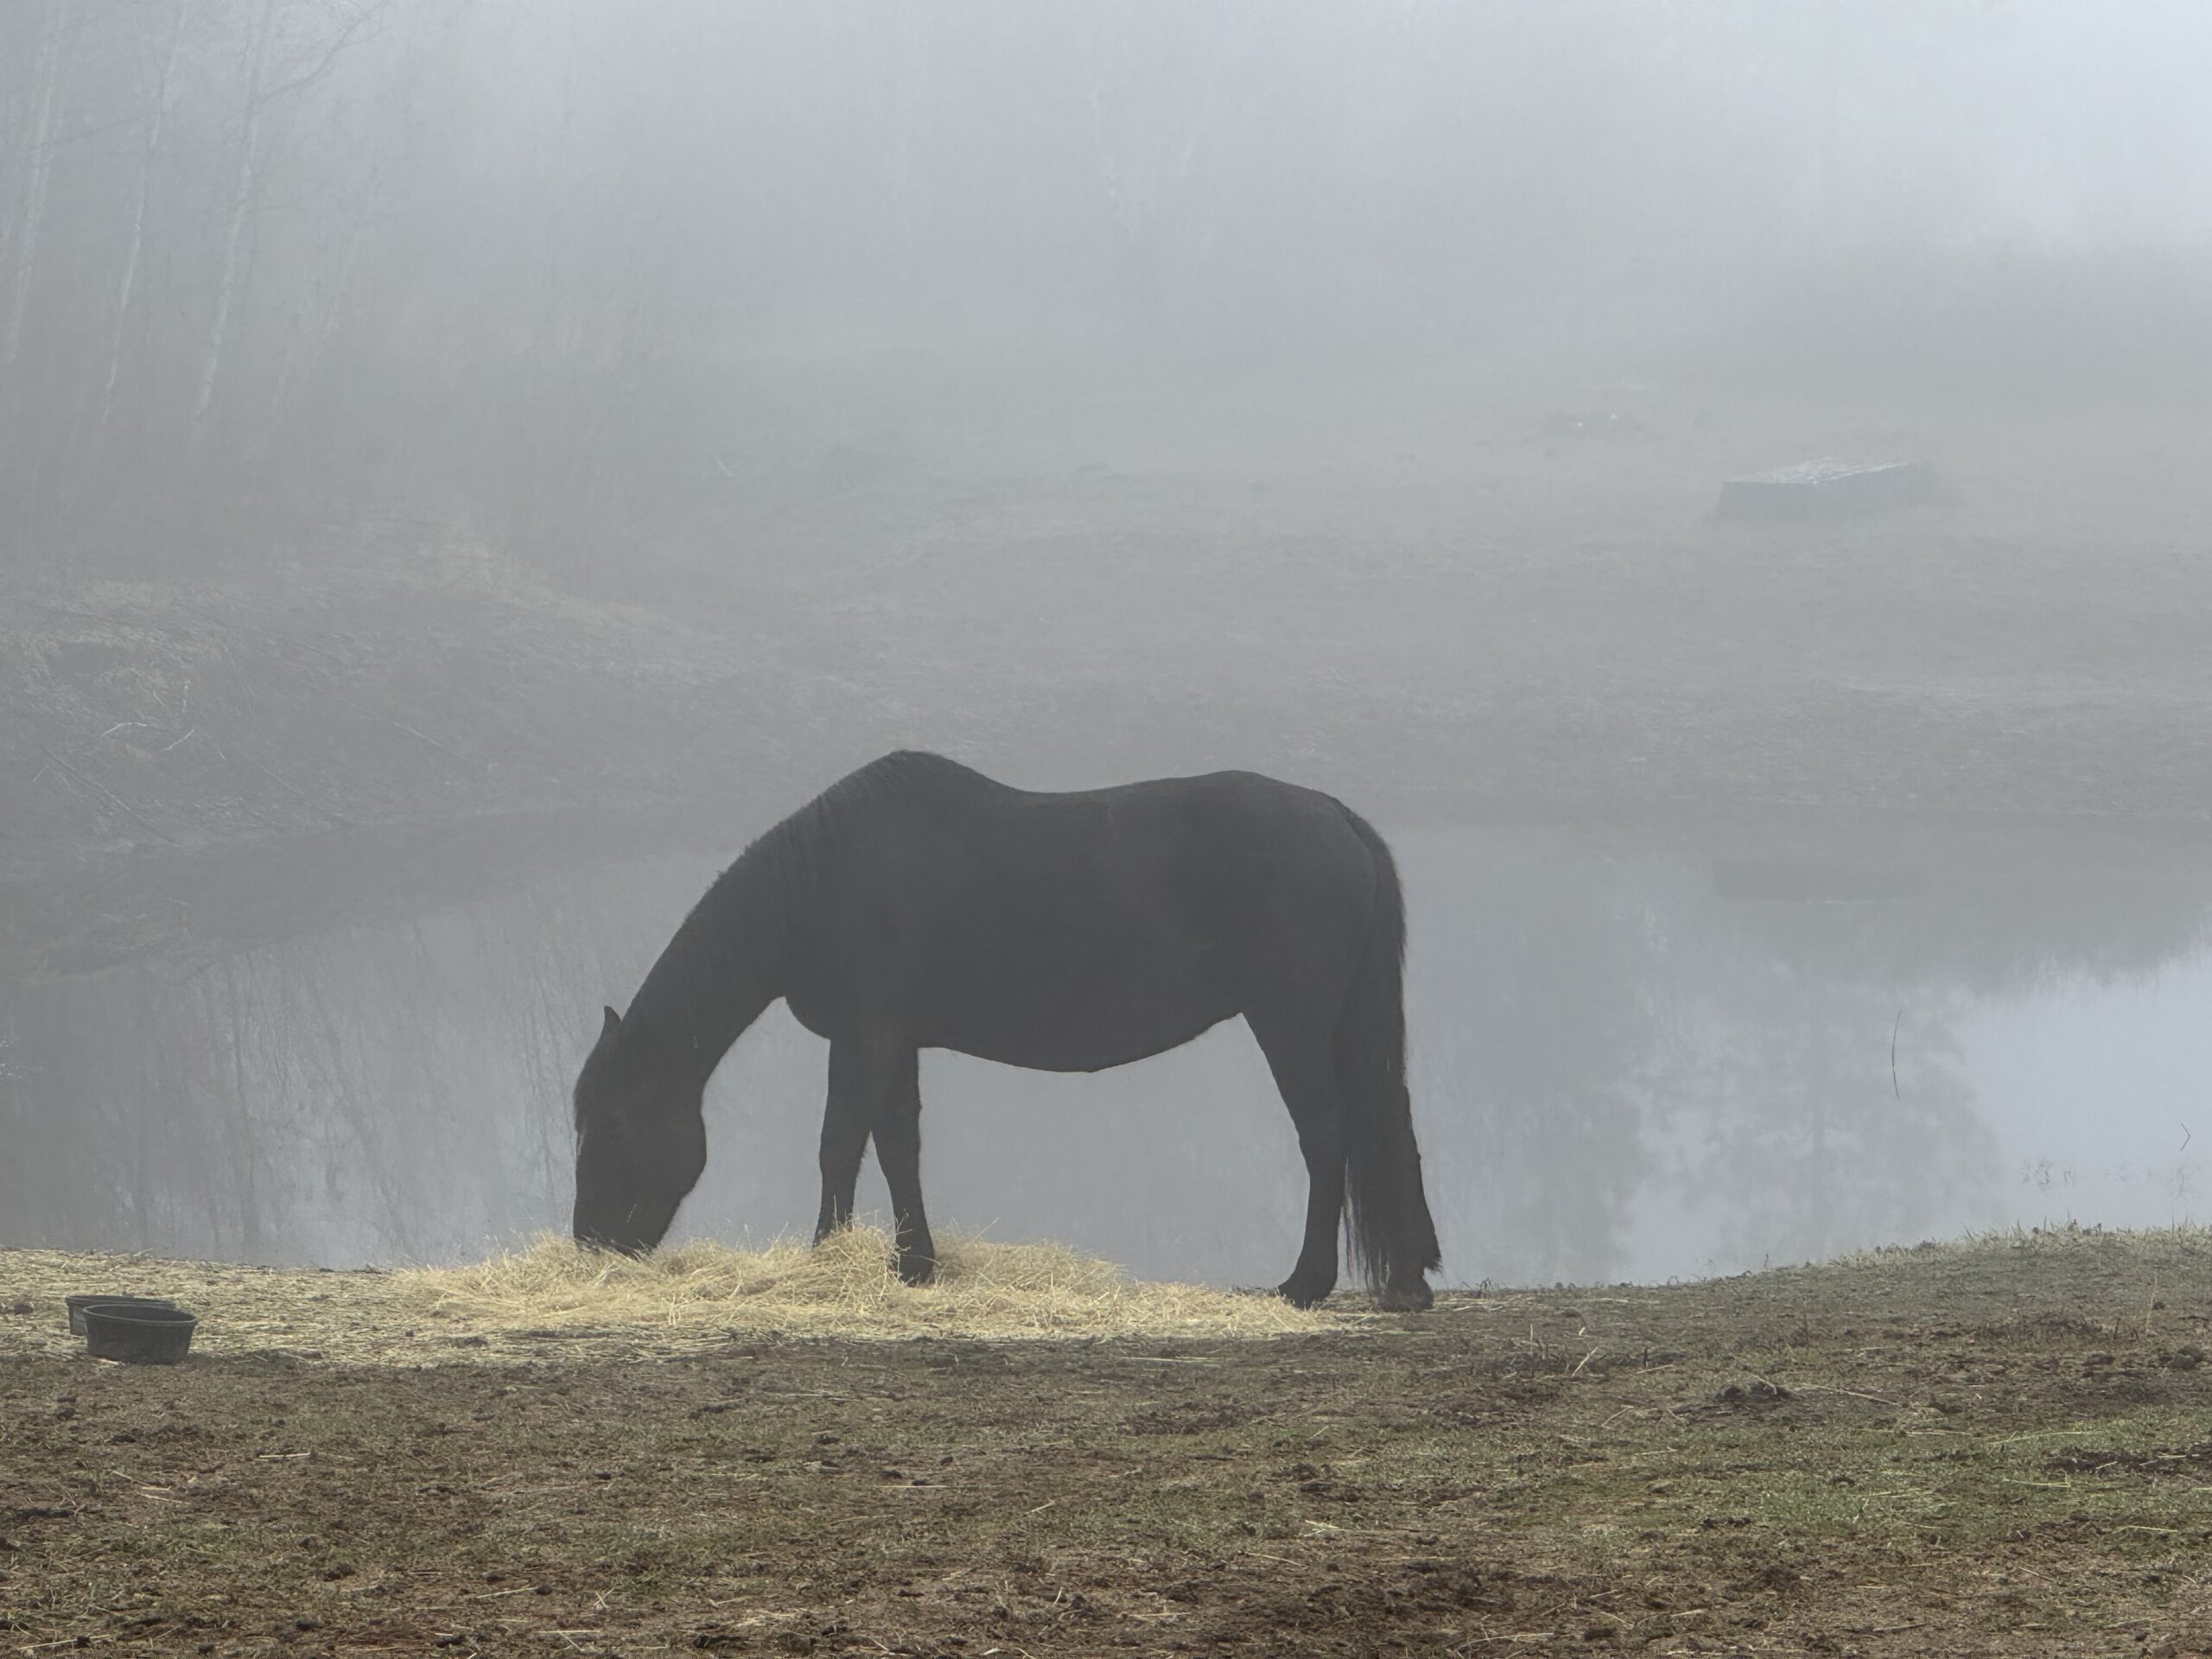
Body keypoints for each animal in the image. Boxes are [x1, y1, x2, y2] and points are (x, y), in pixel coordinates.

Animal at [571, 750, 1442, 1309]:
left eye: (610, 1125)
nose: (588, 1247)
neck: (819, 883)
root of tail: (1338, 819)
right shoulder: (896, 1042)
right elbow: (898, 1145)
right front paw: (913, 1266)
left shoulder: (863, 1035)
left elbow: (839, 1143)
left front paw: (828, 1259)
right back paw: (1406, 1280)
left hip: (1290, 1023)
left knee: (1326, 1135)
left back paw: (1305, 1284)